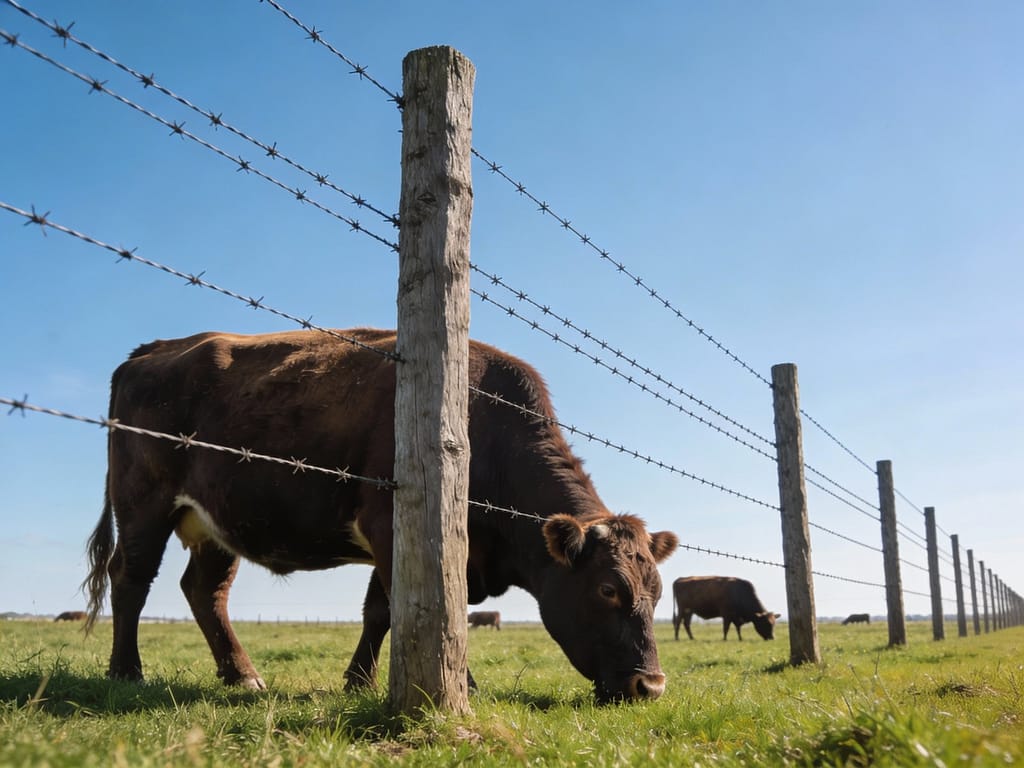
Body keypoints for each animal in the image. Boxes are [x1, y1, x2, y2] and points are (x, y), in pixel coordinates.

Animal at [82, 328, 679, 704]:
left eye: (657, 592)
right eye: (608, 589)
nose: (651, 686)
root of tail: (152, 350)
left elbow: (381, 611)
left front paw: (359, 683)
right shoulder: (393, 524)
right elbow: (420, 607)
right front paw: (462, 686)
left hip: (216, 523)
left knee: (204, 591)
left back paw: (242, 677)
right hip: (144, 502)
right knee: (131, 578)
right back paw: (126, 672)